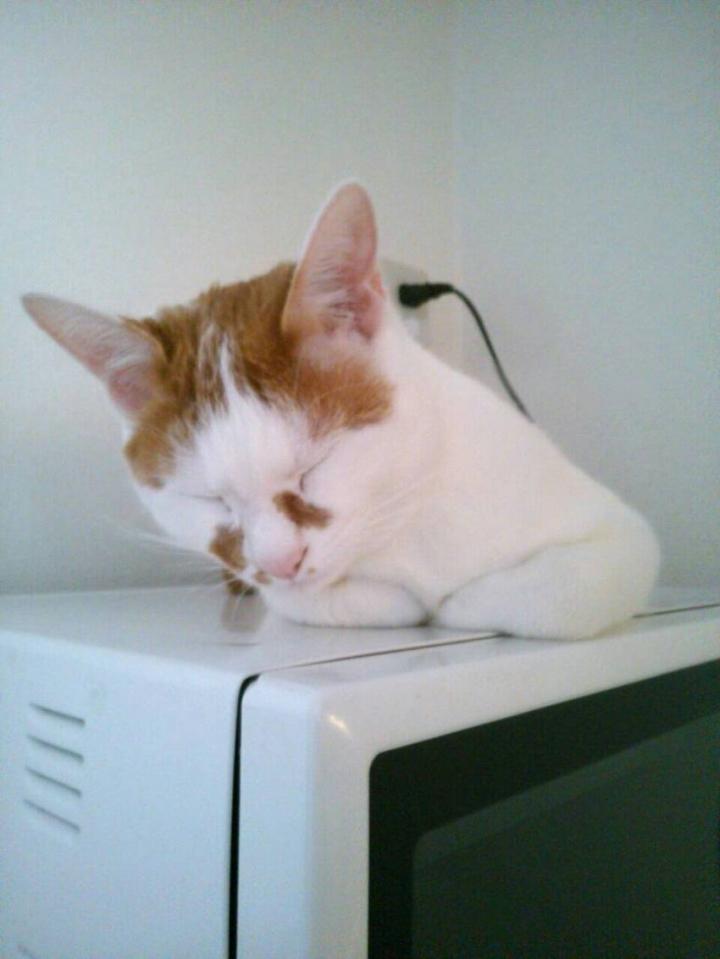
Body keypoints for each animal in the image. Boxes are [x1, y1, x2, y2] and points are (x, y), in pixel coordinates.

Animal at [22, 182, 660, 638]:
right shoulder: (272, 583)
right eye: (210, 501)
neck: (405, 518)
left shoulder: (623, 536)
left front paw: (456, 601)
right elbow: (307, 600)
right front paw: (399, 600)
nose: (281, 562)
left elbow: (559, 594)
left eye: (315, 468)